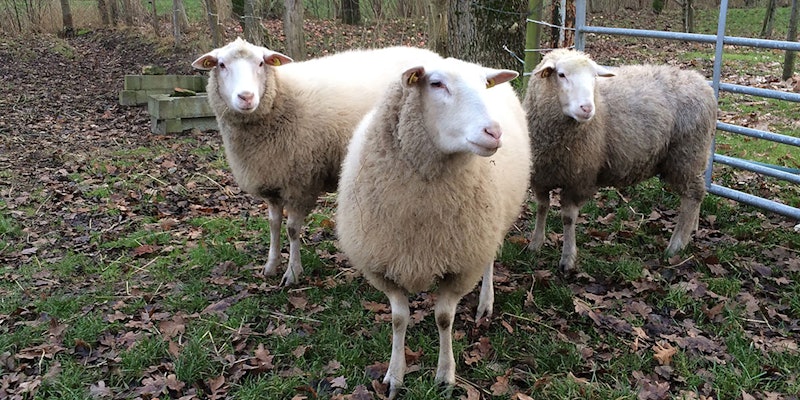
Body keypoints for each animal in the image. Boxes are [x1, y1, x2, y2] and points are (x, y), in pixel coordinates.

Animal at [191, 38, 441, 286]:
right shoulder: (272, 180)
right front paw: (271, 265)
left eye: (261, 63)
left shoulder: (299, 183)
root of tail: (434, 55)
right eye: (221, 64)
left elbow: (292, 229)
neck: (282, 96)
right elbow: (273, 223)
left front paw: (293, 273)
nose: (246, 97)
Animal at [336, 58, 531, 398]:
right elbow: (398, 320)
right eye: (437, 84)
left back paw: (485, 303)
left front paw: (445, 375)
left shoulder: (462, 264)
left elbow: (443, 318)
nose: (493, 132)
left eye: (484, 85)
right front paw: (394, 375)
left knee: (489, 260)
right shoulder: (384, 265)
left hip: (486, 231)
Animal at [522, 48, 717, 273]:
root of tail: (702, 83)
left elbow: (568, 218)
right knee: (697, 193)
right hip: (693, 158)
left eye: (594, 77)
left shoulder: (579, 179)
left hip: (686, 156)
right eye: (561, 75)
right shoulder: (540, 176)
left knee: (692, 197)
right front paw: (535, 244)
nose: (587, 108)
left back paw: (676, 245)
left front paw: (567, 259)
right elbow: (542, 208)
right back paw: (692, 229)